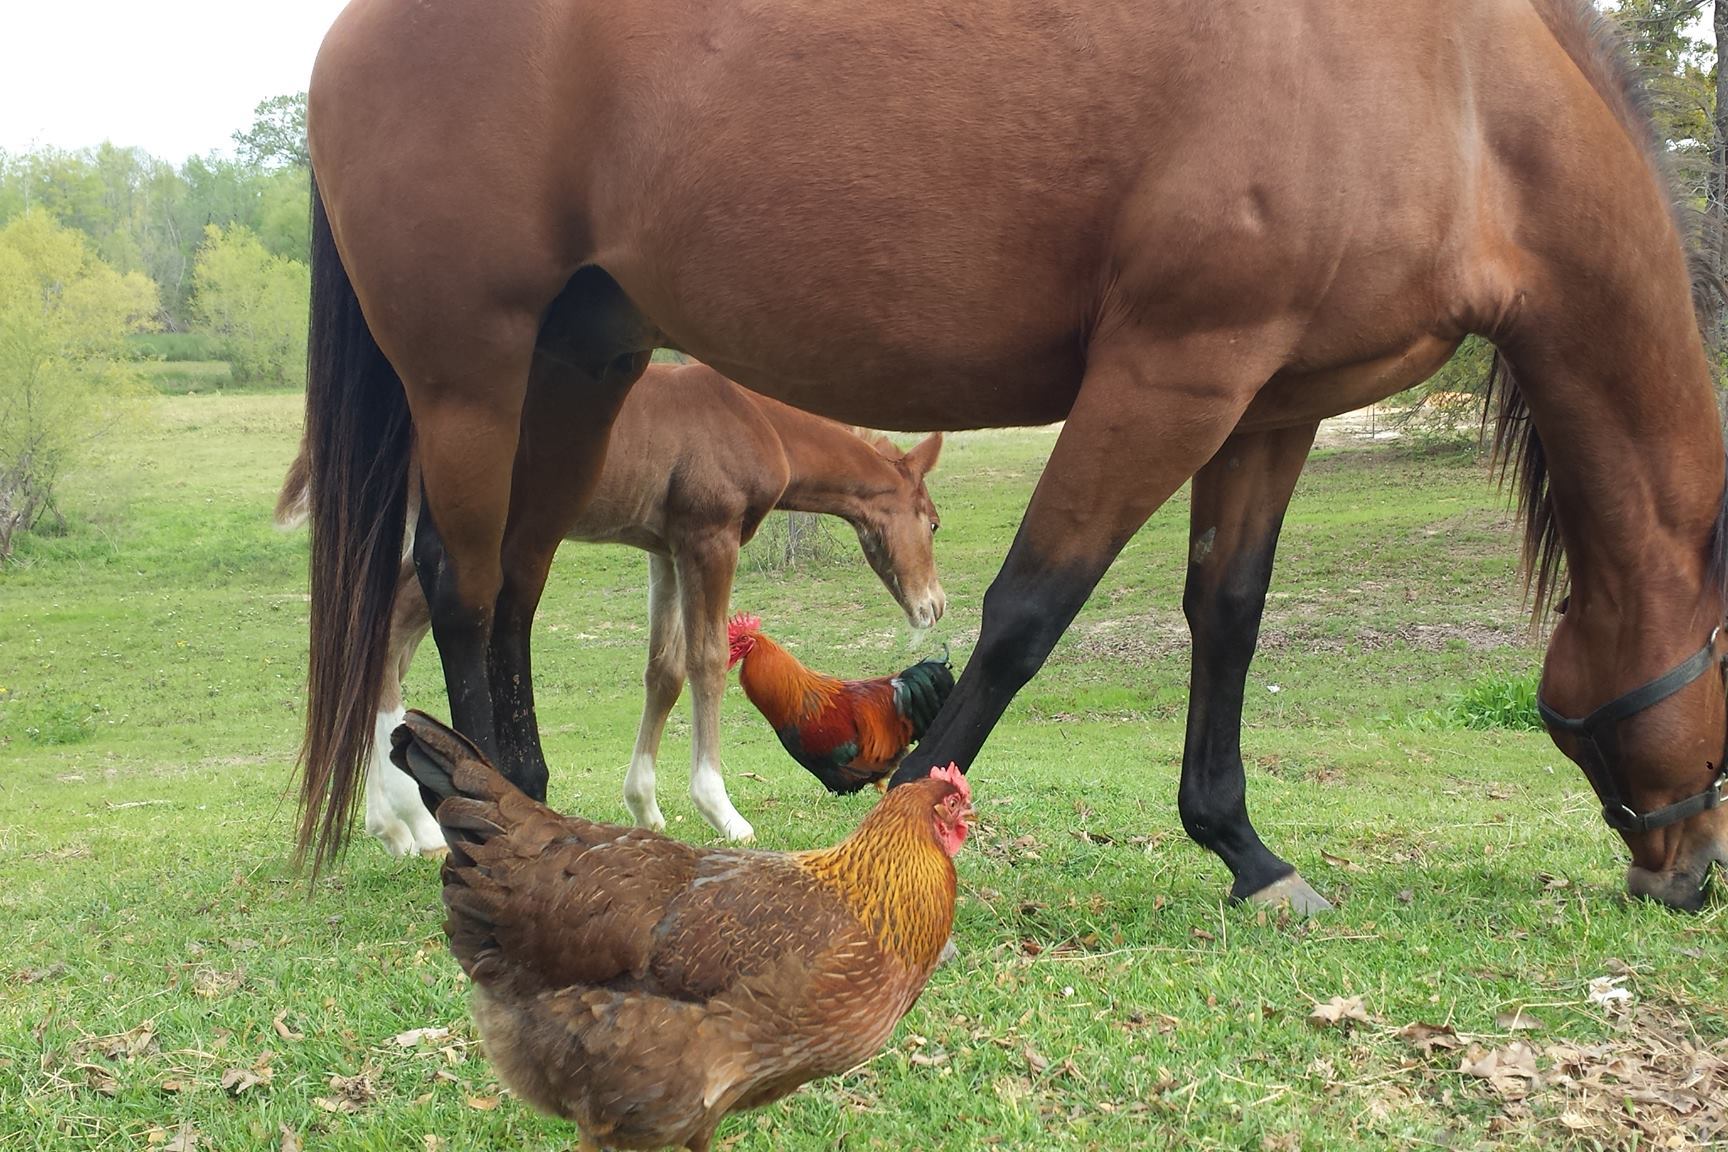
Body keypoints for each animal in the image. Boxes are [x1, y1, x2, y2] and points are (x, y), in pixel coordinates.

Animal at [276, 362, 940, 856]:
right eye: (934, 522)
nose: (932, 606)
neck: (755, 421)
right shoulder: (709, 537)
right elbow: (706, 660)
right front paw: (721, 810)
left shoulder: (664, 548)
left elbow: (664, 669)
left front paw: (645, 804)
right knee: (384, 638)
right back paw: (409, 822)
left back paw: (392, 826)